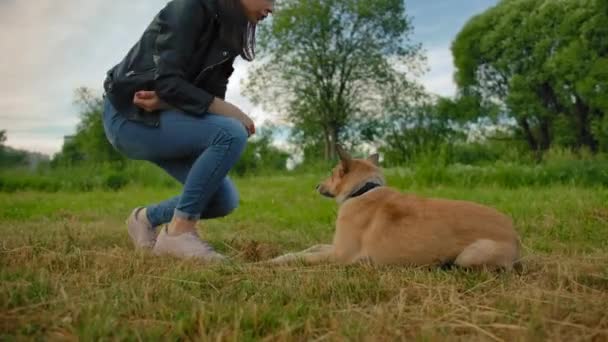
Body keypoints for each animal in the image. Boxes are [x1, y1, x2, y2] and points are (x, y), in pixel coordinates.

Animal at [268, 146, 520, 272]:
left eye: (333, 173)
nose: (316, 185)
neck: (363, 190)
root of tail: (516, 238)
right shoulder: (335, 247)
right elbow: (312, 247)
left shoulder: (340, 255)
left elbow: (302, 258)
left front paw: (275, 261)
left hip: (471, 255)